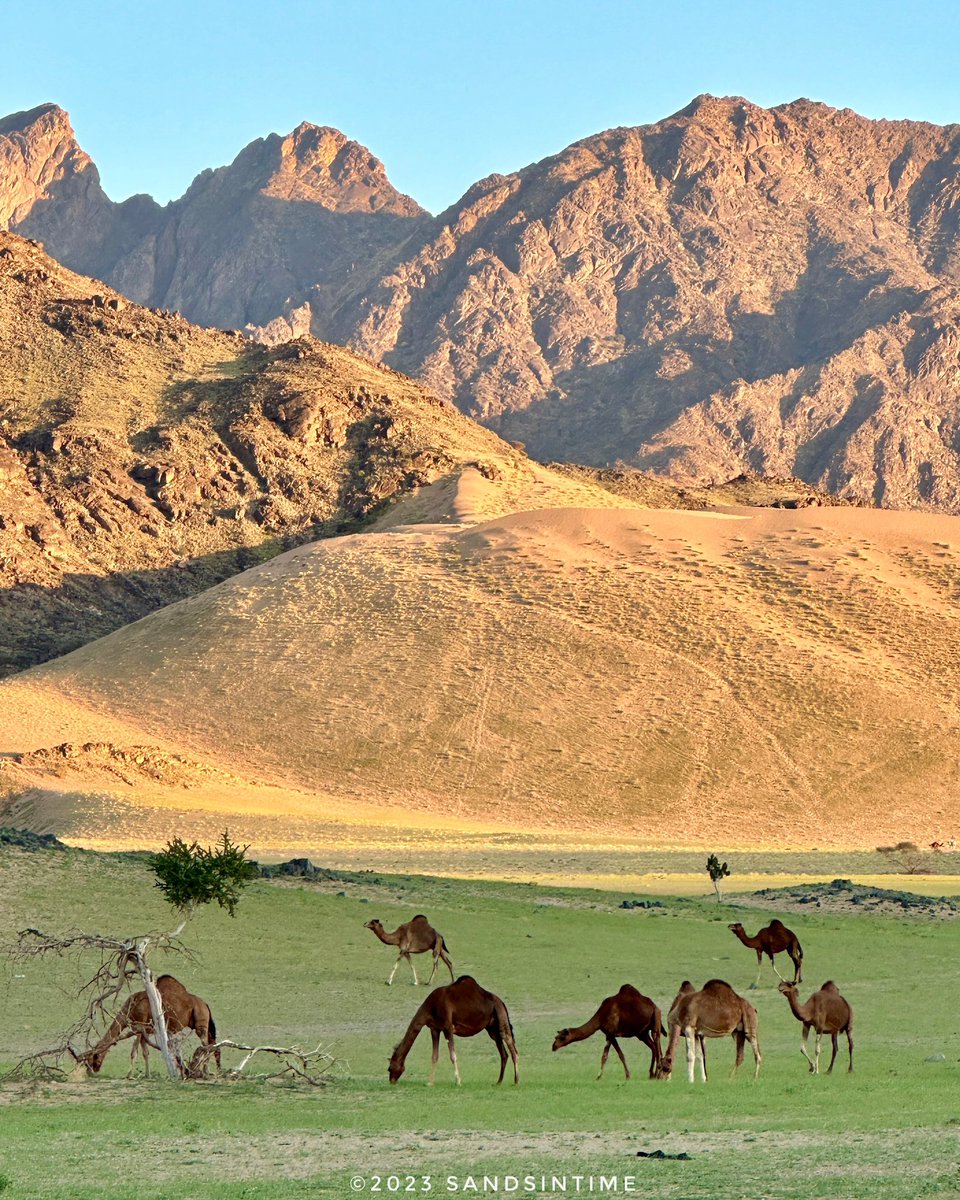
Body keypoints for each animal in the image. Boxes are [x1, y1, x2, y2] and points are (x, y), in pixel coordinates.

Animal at [78, 974, 220, 1077]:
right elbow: (145, 1053)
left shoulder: (139, 1026)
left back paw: (205, 1072)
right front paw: (147, 1075)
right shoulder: (144, 1031)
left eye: (93, 1057)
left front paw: (129, 1075)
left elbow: (134, 1052)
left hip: (200, 1024)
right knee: (210, 1044)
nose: (91, 1072)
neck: (131, 1007)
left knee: (207, 1045)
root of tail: (205, 1005)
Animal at [388, 975, 518, 1085]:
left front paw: (458, 1082)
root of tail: (501, 1002)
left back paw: (516, 1081)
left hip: (501, 1018)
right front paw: (430, 1082)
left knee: (512, 1046)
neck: (430, 1007)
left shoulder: (448, 1027)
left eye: (389, 1068)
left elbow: (453, 1055)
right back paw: (498, 1082)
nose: (391, 1081)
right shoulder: (435, 1028)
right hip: (492, 1029)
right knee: (503, 1054)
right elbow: (434, 1056)